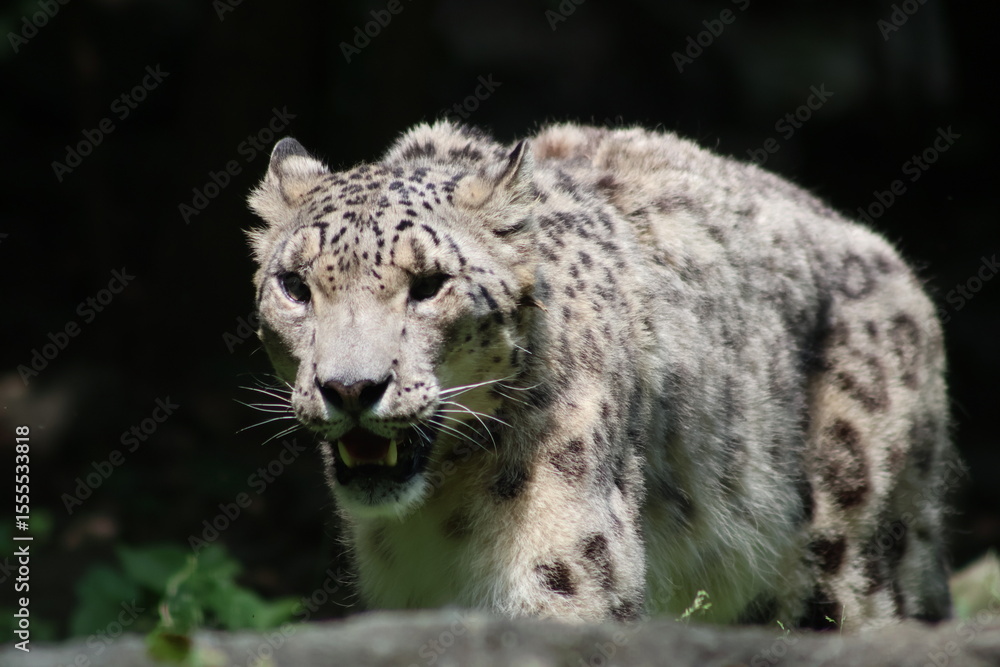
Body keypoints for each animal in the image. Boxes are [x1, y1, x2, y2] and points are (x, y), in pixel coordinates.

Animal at [246, 120, 956, 630]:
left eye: (429, 285)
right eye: (294, 286)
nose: (350, 388)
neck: (436, 515)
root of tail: (895, 264)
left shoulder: (563, 569)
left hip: (852, 553)